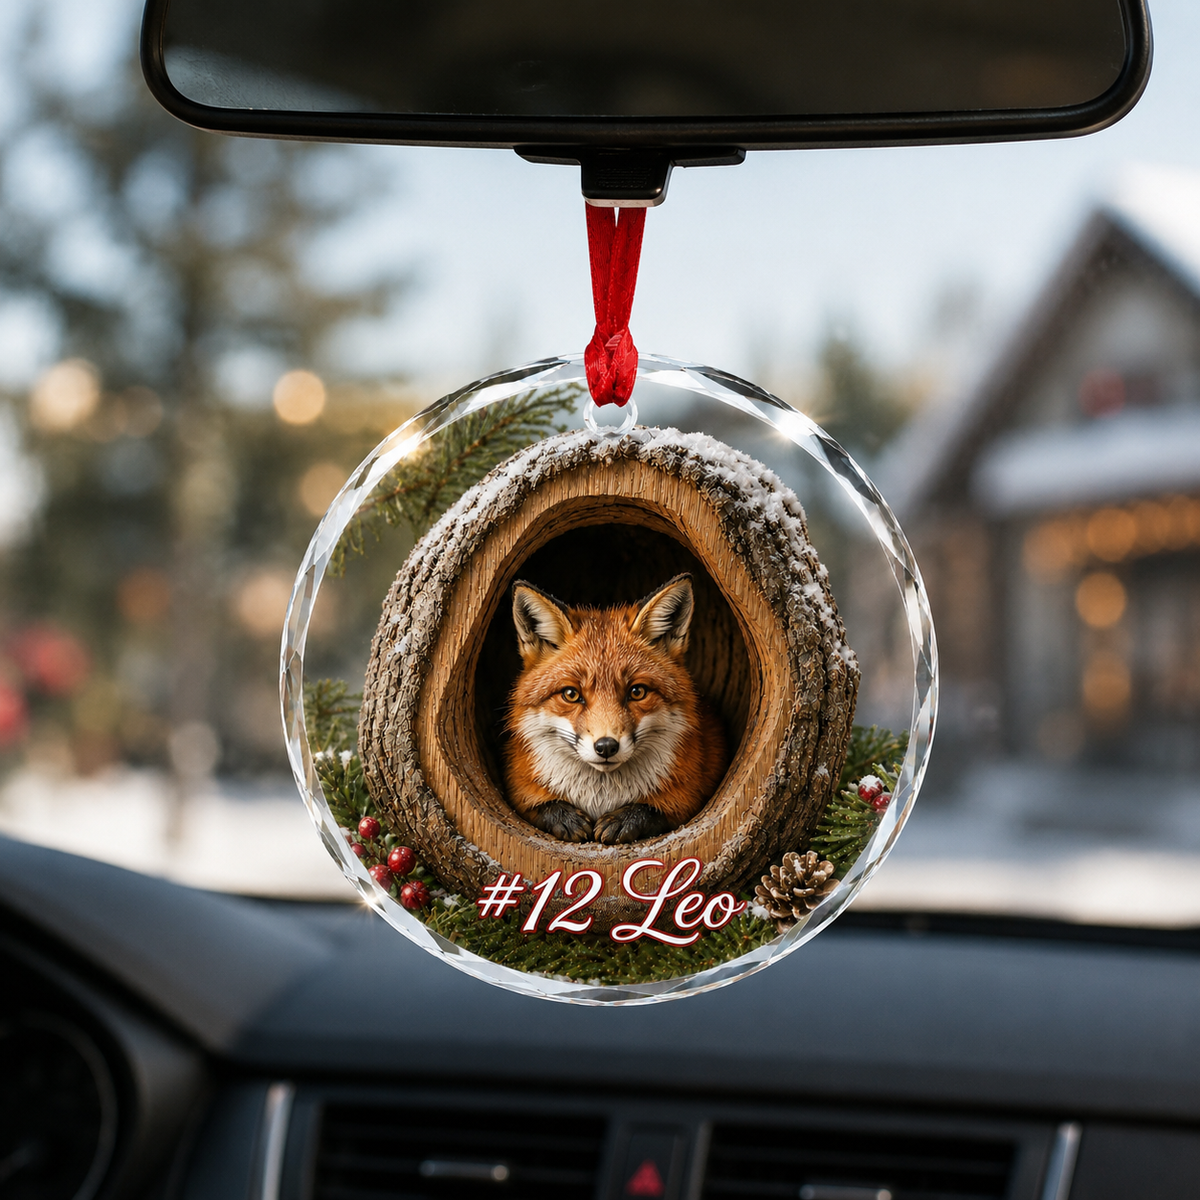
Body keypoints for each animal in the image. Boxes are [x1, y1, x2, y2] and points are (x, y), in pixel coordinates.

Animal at [503, 573, 728, 845]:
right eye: (571, 694)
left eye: (637, 692)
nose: (606, 746)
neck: (601, 797)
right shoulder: (519, 788)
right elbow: (537, 807)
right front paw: (565, 818)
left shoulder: (688, 797)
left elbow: (656, 811)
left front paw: (625, 819)